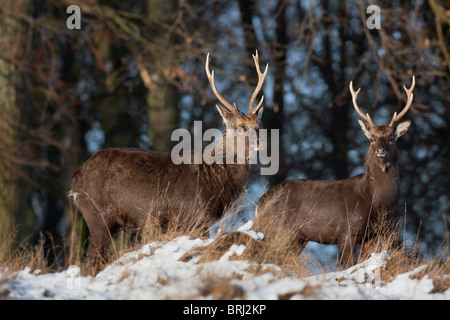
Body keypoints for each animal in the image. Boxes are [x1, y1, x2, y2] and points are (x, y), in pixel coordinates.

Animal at [69, 51, 268, 272]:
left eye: (258, 125)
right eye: (240, 127)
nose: (260, 142)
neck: (214, 177)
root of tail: (75, 181)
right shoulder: (195, 215)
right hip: (97, 214)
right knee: (92, 256)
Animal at [255, 76, 416, 266]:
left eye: (391, 138)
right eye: (372, 138)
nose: (381, 150)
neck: (374, 201)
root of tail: (260, 203)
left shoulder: (373, 234)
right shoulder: (346, 230)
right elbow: (348, 264)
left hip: (297, 239)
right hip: (280, 230)